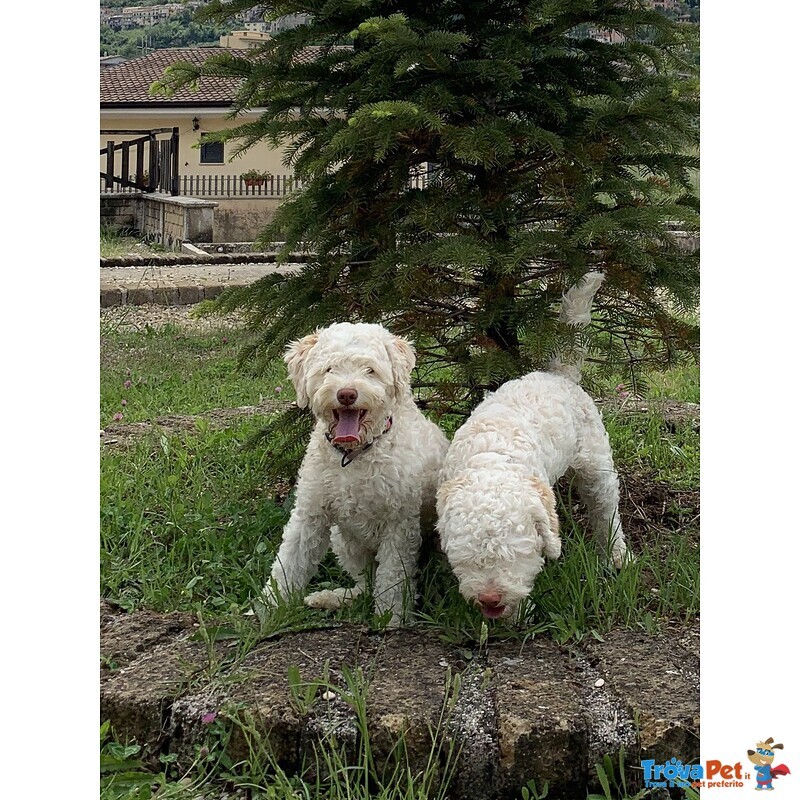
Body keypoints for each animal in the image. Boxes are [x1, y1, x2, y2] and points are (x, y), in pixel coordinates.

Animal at [262, 318, 450, 624]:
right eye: (329, 368)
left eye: (370, 370)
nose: (346, 394)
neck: (354, 456)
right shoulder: (310, 514)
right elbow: (289, 562)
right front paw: (266, 611)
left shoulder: (399, 524)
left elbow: (392, 580)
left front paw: (391, 621)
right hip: (343, 541)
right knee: (365, 585)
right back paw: (332, 598)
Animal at [434, 274, 628, 620]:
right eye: (467, 559)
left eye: (514, 555)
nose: (489, 599)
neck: (490, 460)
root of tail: (558, 375)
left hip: (595, 458)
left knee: (605, 506)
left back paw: (615, 554)